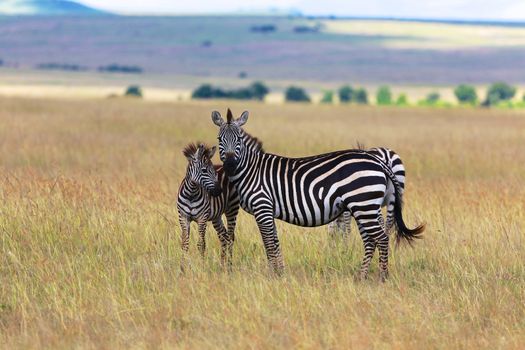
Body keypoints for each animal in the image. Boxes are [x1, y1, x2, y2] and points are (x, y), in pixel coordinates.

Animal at [211, 109, 424, 282]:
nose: (229, 165)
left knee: (382, 238)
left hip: (364, 205)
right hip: (365, 207)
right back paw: (361, 276)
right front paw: (280, 272)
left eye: (238, 140)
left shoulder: (262, 206)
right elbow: (275, 241)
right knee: (371, 239)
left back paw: (382, 277)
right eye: (220, 140)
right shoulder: (267, 210)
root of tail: (379, 161)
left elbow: (269, 242)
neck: (251, 170)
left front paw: (273, 274)